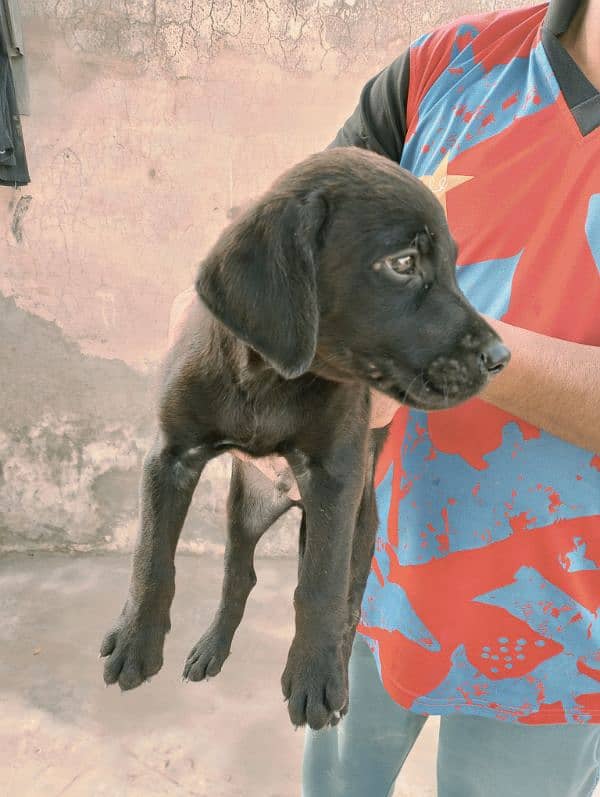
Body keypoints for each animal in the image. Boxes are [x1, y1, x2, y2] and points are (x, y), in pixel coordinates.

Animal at [99, 146, 510, 732]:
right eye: (403, 263)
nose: (501, 359)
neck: (268, 379)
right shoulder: (170, 455)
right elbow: (151, 553)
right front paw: (136, 641)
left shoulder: (335, 478)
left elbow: (319, 586)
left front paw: (315, 678)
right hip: (247, 508)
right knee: (239, 575)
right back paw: (212, 649)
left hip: (357, 523)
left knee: (347, 600)